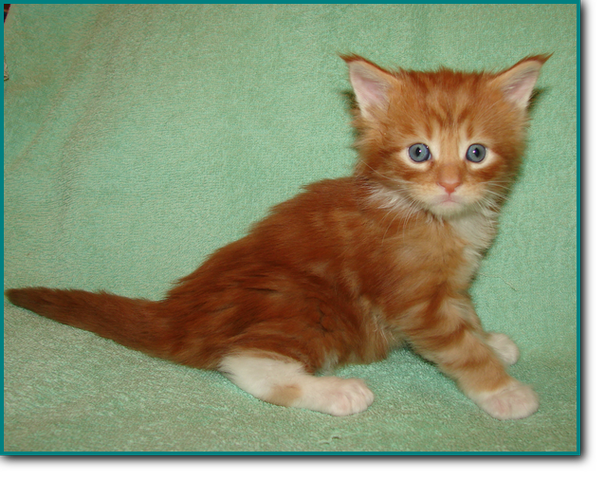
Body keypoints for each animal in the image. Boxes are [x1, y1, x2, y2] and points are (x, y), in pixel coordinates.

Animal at [6, 53, 549, 419]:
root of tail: (179, 311)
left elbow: (468, 318)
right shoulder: (413, 298)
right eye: (419, 152)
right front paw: (502, 389)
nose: (450, 184)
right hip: (302, 299)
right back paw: (338, 392)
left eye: (476, 153)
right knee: (244, 362)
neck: (434, 218)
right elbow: (458, 345)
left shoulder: (451, 286)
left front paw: (493, 342)